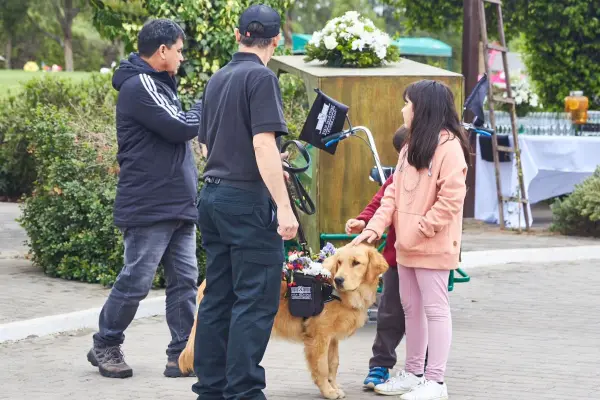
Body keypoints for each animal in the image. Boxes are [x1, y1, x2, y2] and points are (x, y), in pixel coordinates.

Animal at [178, 242, 390, 398]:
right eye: (339, 262)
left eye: (356, 263)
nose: (338, 280)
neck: (334, 293)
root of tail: (205, 283)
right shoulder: (319, 337)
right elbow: (322, 367)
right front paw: (328, 391)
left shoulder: (332, 338)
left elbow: (333, 364)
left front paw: (334, 387)